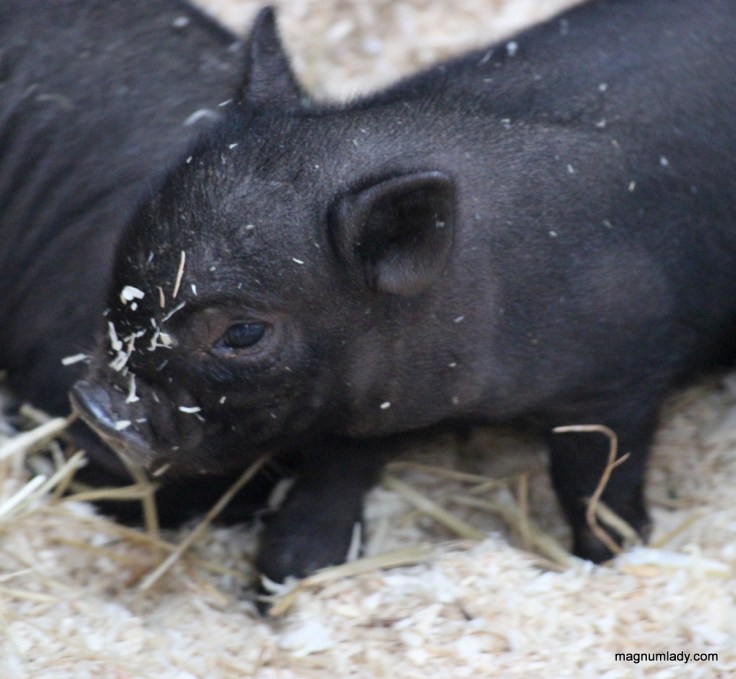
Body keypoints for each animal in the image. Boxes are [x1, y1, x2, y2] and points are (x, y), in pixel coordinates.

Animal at [71, 0, 736, 584]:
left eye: (244, 332)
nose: (95, 404)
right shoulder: (367, 399)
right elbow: (336, 466)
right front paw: (289, 575)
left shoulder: (619, 380)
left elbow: (594, 483)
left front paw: (609, 561)